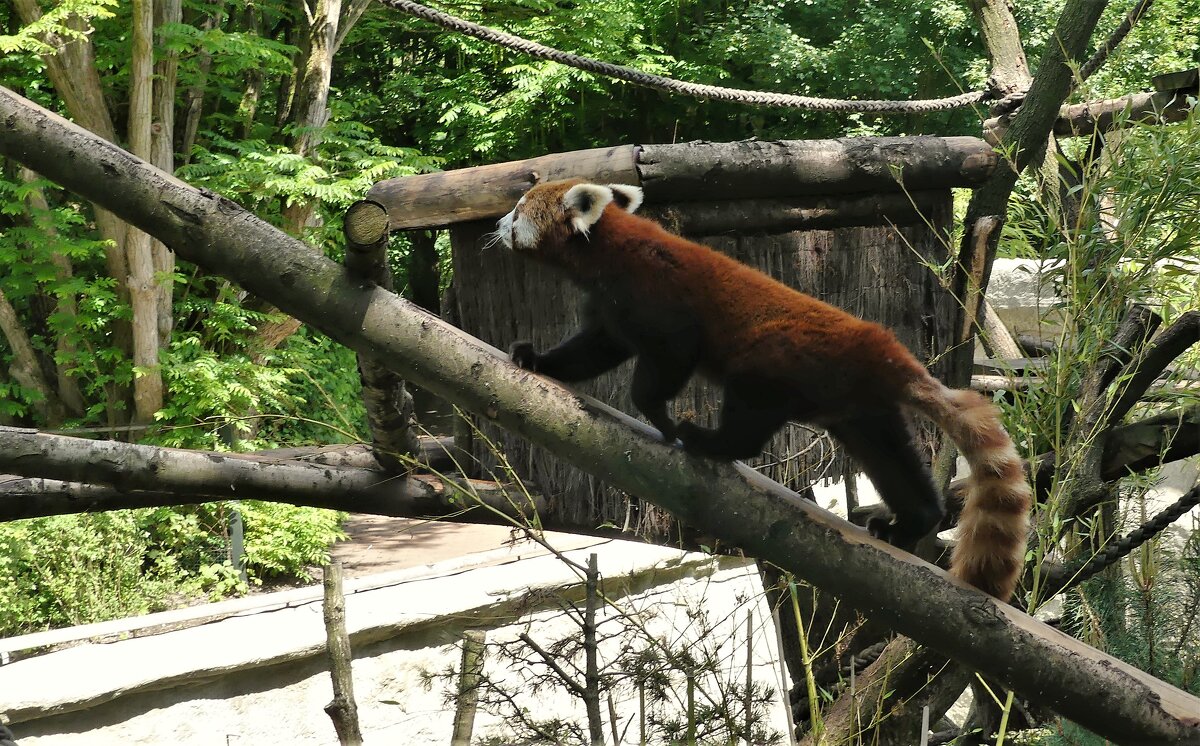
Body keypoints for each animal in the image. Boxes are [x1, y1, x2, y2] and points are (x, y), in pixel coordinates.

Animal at [496, 179, 1032, 602]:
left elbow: (667, 360)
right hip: (860, 411)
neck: (607, 250)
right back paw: (913, 520)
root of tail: (889, 354)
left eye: (519, 210)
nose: (498, 225)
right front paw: (537, 360)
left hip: (781, 360)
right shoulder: (610, 310)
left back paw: (710, 441)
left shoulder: (658, 300)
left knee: (751, 418)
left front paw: (658, 415)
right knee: (889, 458)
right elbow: (592, 350)